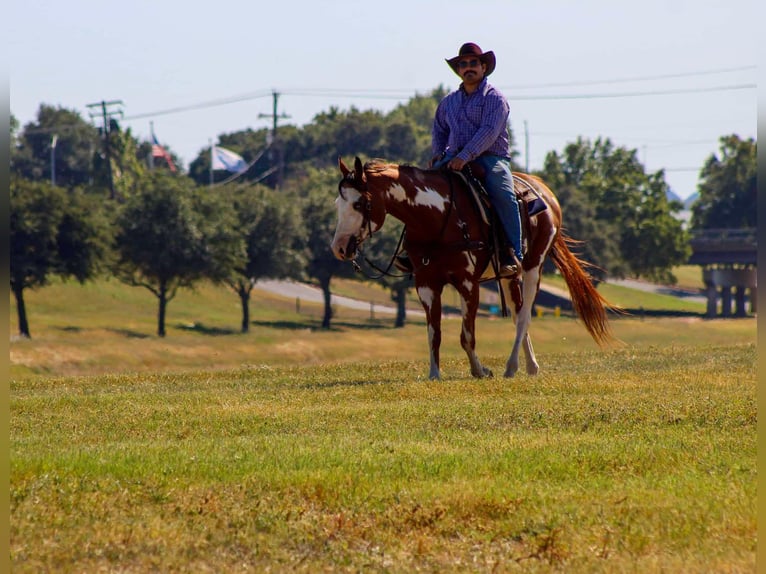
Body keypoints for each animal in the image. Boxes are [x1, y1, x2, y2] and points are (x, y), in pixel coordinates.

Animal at [330, 156, 618, 380]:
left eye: (359, 204)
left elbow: (466, 335)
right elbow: (434, 333)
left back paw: (512, 367)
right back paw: (530, 366)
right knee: (517, 313)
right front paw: (434, 374)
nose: (339, 248)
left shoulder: (468, 283)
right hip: (509, 276)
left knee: (524, 316)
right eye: (338, 204)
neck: (438, 218)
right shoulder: (426, 284)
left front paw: (480, 371)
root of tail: (545, 191)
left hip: (533, 266)